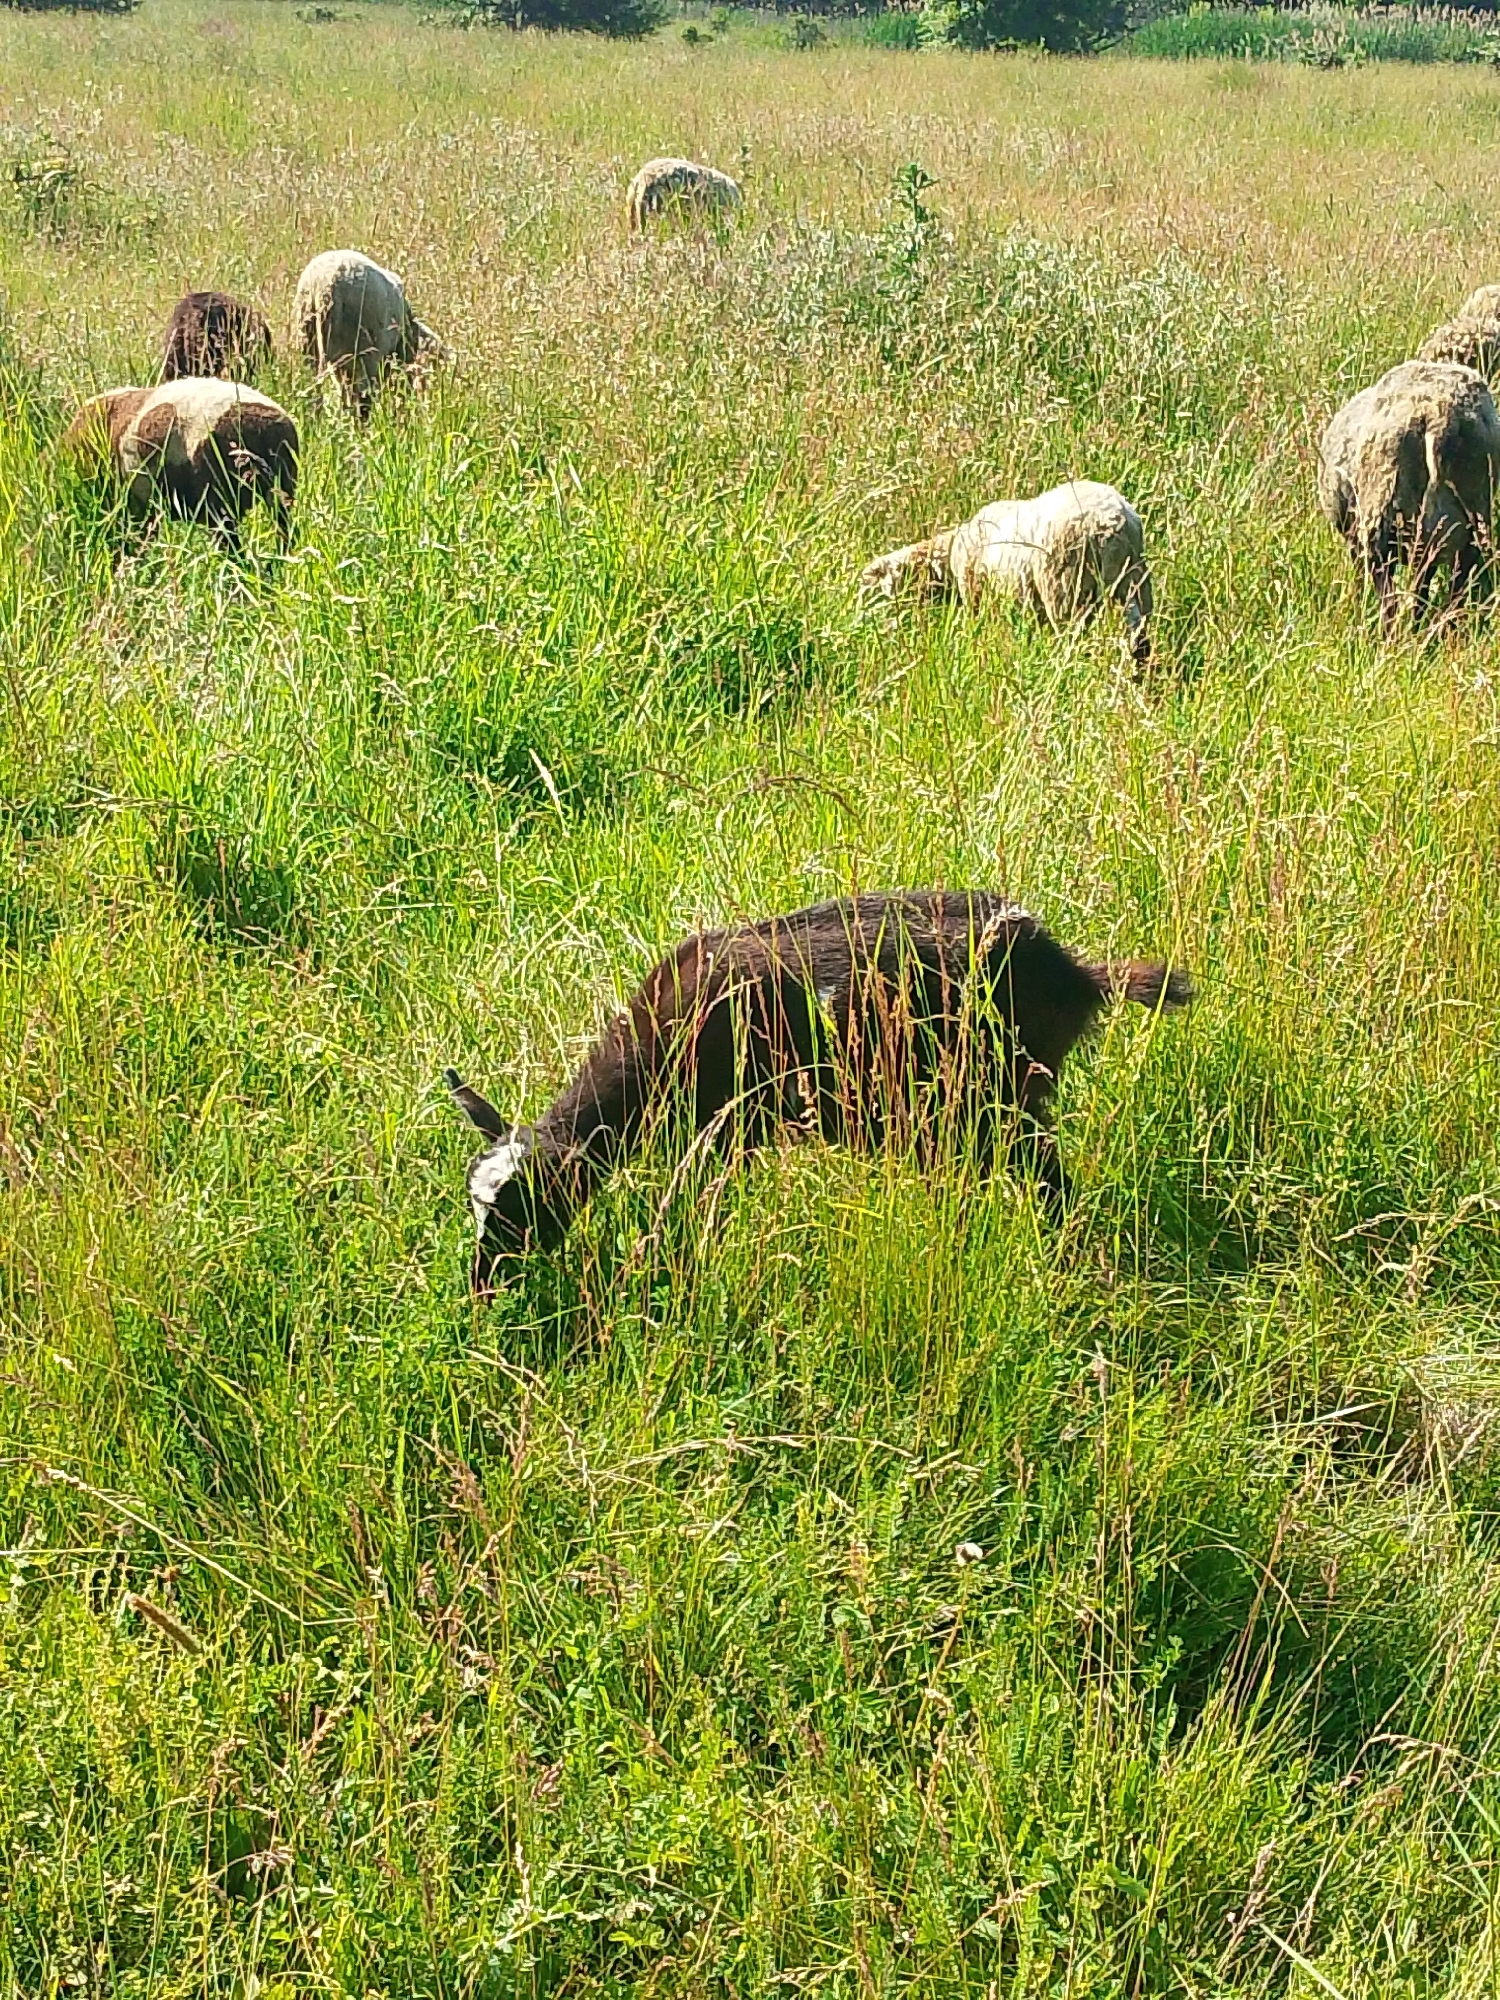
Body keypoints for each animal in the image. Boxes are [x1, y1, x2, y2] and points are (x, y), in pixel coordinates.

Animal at [447, 890, 1192, 1293]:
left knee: (1047, 1180)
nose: (481, 1283)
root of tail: (1074, 972)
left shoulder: (729, 1121)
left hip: (996, 1095)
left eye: (523, 1206)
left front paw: (651, 1265)